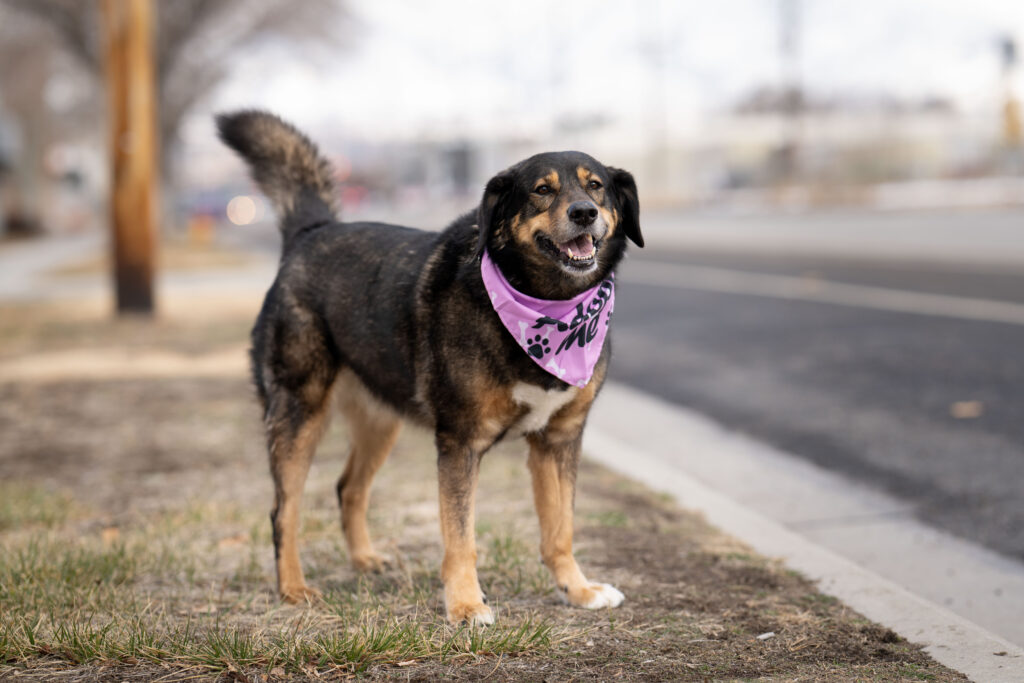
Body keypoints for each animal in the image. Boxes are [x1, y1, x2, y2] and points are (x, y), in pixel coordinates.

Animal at [219, 111, 643, 626]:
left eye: (596, 186)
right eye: (542, 190)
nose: (584, 213)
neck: (546, 304)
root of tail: (311, 232)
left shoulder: (558, 440)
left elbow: (560, 529)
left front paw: (577, 591)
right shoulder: (460, 443)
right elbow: (460, 537)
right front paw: (465, 605)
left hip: (380, 421)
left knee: (348, 488)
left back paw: (364, 560)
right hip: (299, 413)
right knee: (285, 511)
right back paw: (293, 588)